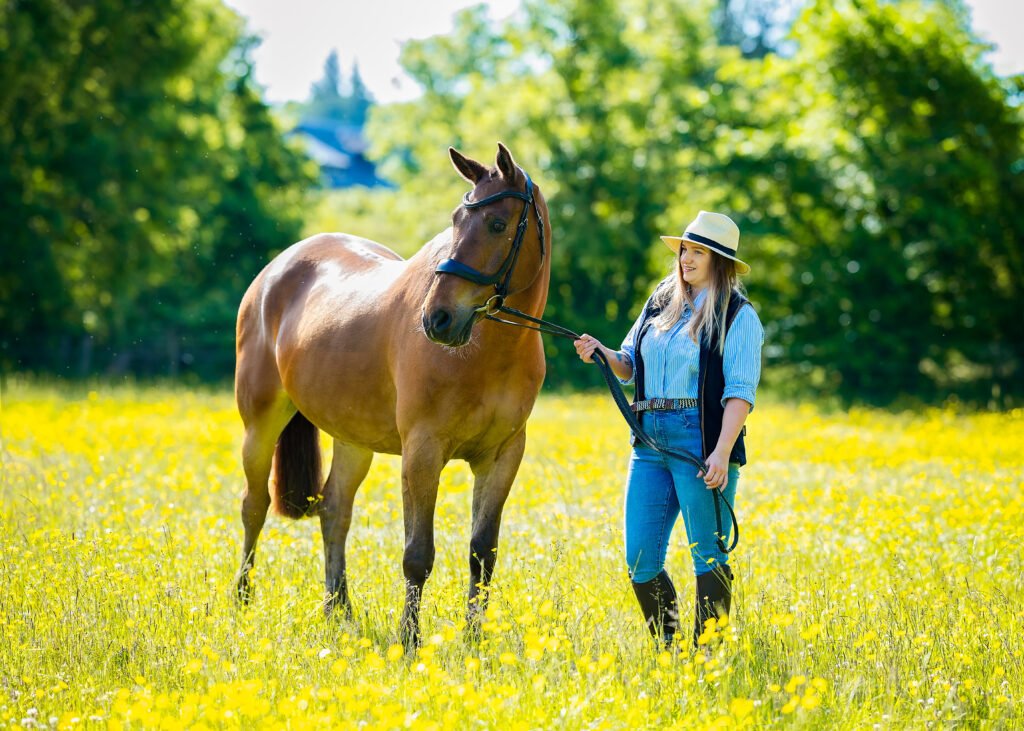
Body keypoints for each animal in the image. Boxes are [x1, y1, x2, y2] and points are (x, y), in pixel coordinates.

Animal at [233, 143, 550, 647]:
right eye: (456, 219)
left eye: (498, 224)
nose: (437, 319)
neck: (487, 351)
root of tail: (275, 271)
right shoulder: (422, 453)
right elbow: (417, 554)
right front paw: (410, 641)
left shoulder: (502, 457)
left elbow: (482, 552)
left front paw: (473, 641)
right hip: (260, 424)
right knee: (254, 506)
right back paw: (243, 598)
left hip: (352, 440)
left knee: (334, 511)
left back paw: (338, 610)